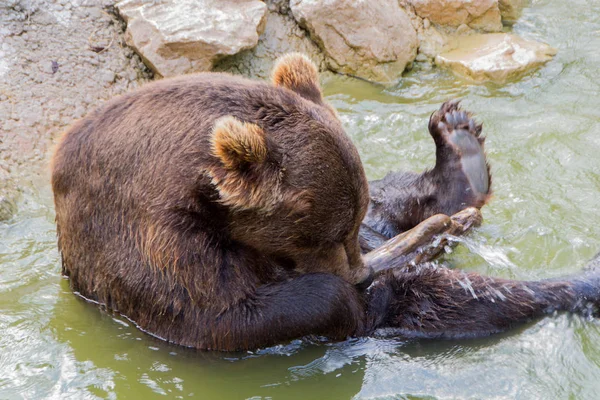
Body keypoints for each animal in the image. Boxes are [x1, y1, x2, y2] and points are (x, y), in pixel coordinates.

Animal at [52, 54, 600, 352]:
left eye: (346, 227)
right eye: (326, 233)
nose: (358, 272)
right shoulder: (158, 246)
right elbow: (228, 315)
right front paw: (347, 295)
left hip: (386, 217)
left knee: (399, 207)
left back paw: (459, 148)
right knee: (453, 300)